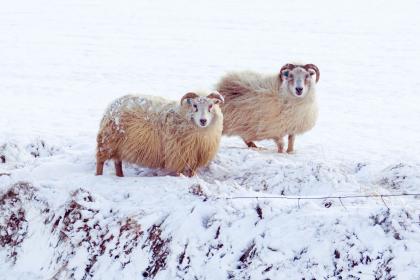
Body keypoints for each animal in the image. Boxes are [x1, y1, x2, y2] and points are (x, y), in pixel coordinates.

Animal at [95, 91, 225, 176]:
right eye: (195, 106)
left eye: (211, 106)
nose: (203, 120)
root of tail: (112, 106)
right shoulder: (178, 155)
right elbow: (179, 172)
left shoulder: (194, 156)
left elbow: (192, 173)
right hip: (108, 141)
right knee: (100, 160)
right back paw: (99, 175)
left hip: (118, 145)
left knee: (117, 162)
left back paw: (120, 176)